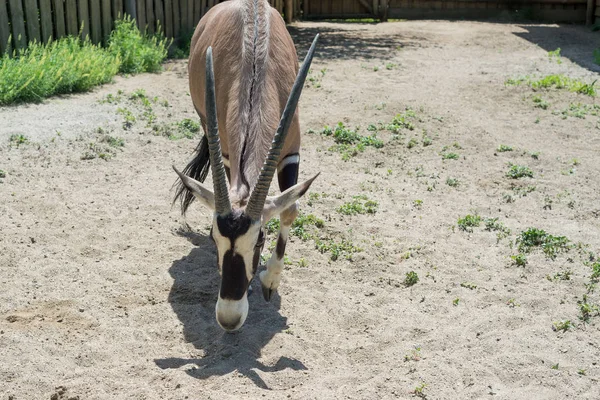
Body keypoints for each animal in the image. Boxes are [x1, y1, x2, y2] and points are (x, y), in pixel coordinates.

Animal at [172, 0, 318, 332]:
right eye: (213, 236)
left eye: (260, 238)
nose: (229, 318)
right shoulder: (227, 154)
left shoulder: (291, 152)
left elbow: (289, 209)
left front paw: (269, 281)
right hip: (205, 121)